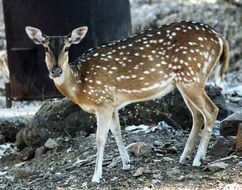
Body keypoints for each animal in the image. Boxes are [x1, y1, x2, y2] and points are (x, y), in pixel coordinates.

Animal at [25, 21, 230, 183]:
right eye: (45, 47)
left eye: (67, 47)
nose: (56, 71)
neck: (80, 86)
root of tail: (220, 37)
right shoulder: (112, 104)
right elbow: (117, 131)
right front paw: (126, 163)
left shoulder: (103, 100)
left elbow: (100, 138)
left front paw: (96, 176)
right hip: (184, 82)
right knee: (197, 115)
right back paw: (184, 157)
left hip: (190, 76)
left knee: (211, 110)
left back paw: (197, 159)